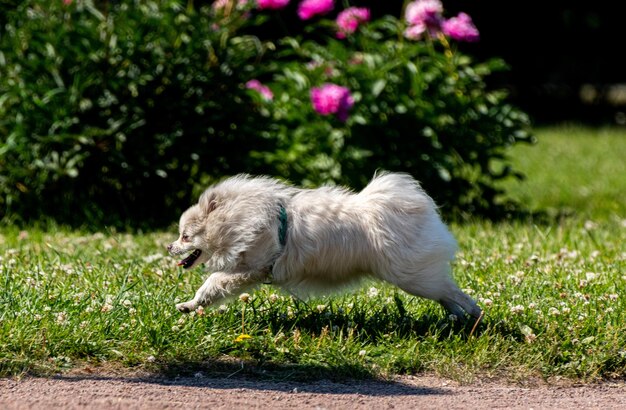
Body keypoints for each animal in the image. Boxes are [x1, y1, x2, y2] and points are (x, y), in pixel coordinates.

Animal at [166, 173, 478, 320]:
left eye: (185, 236)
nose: (169, 247)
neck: (236, 219)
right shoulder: (247, 272)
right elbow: (212, 291)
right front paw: (189, 306)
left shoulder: (250, 267)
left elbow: (212, 283)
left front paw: (190, 303)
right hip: (420, 278)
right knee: (447, 293)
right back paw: (458, 318)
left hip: (412, 277)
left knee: (454, 293)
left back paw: (474, 315)